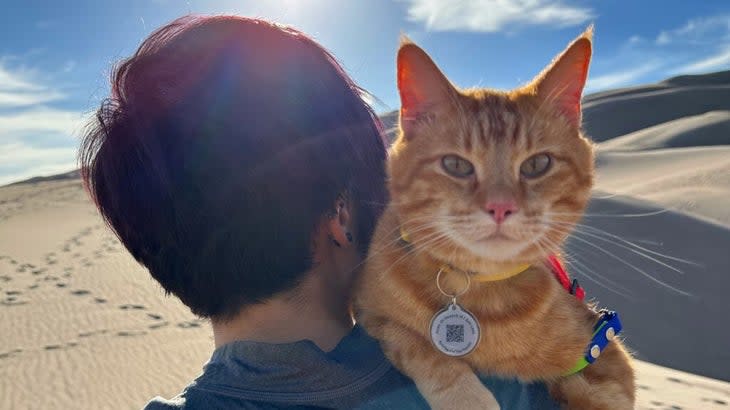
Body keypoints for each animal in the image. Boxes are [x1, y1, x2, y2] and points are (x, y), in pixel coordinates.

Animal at [352, 28, 632, 410]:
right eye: (456, 165)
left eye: (537, 164)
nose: (501, 207)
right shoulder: (371, 314)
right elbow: (420, 347)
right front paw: (467, 397)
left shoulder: (604, 352)